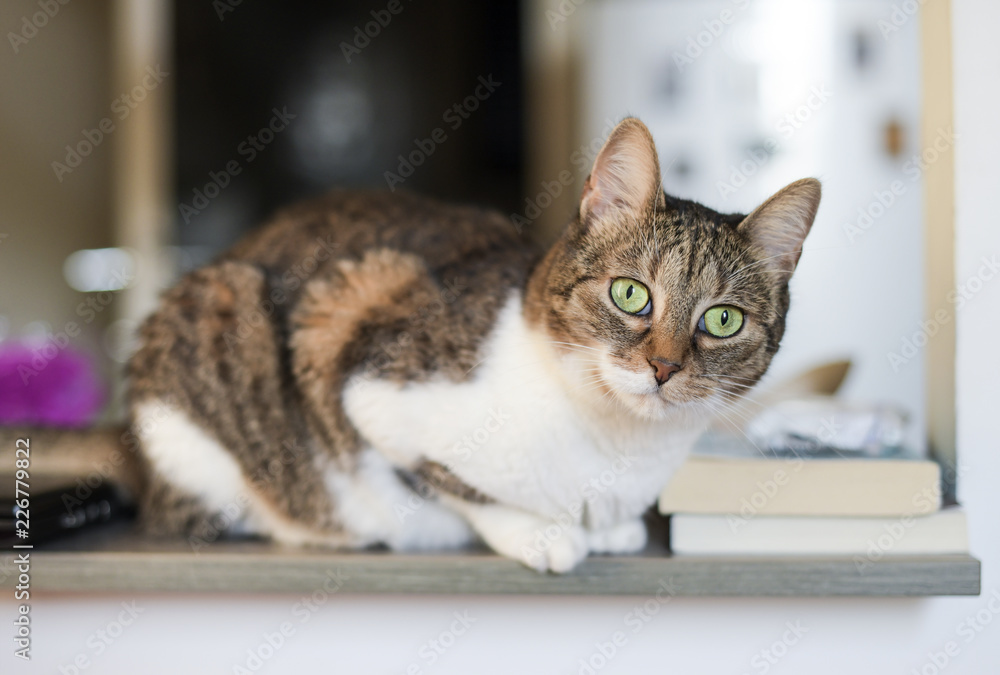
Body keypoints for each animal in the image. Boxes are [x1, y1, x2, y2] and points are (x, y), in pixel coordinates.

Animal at [127, 116, 820, 572]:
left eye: (722, 321)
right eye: (631, 294)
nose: (664, 366)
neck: (614, 448)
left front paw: (610, 529)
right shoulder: (354, 355)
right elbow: (452, 484)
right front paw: (544, 533)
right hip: (220, 323)